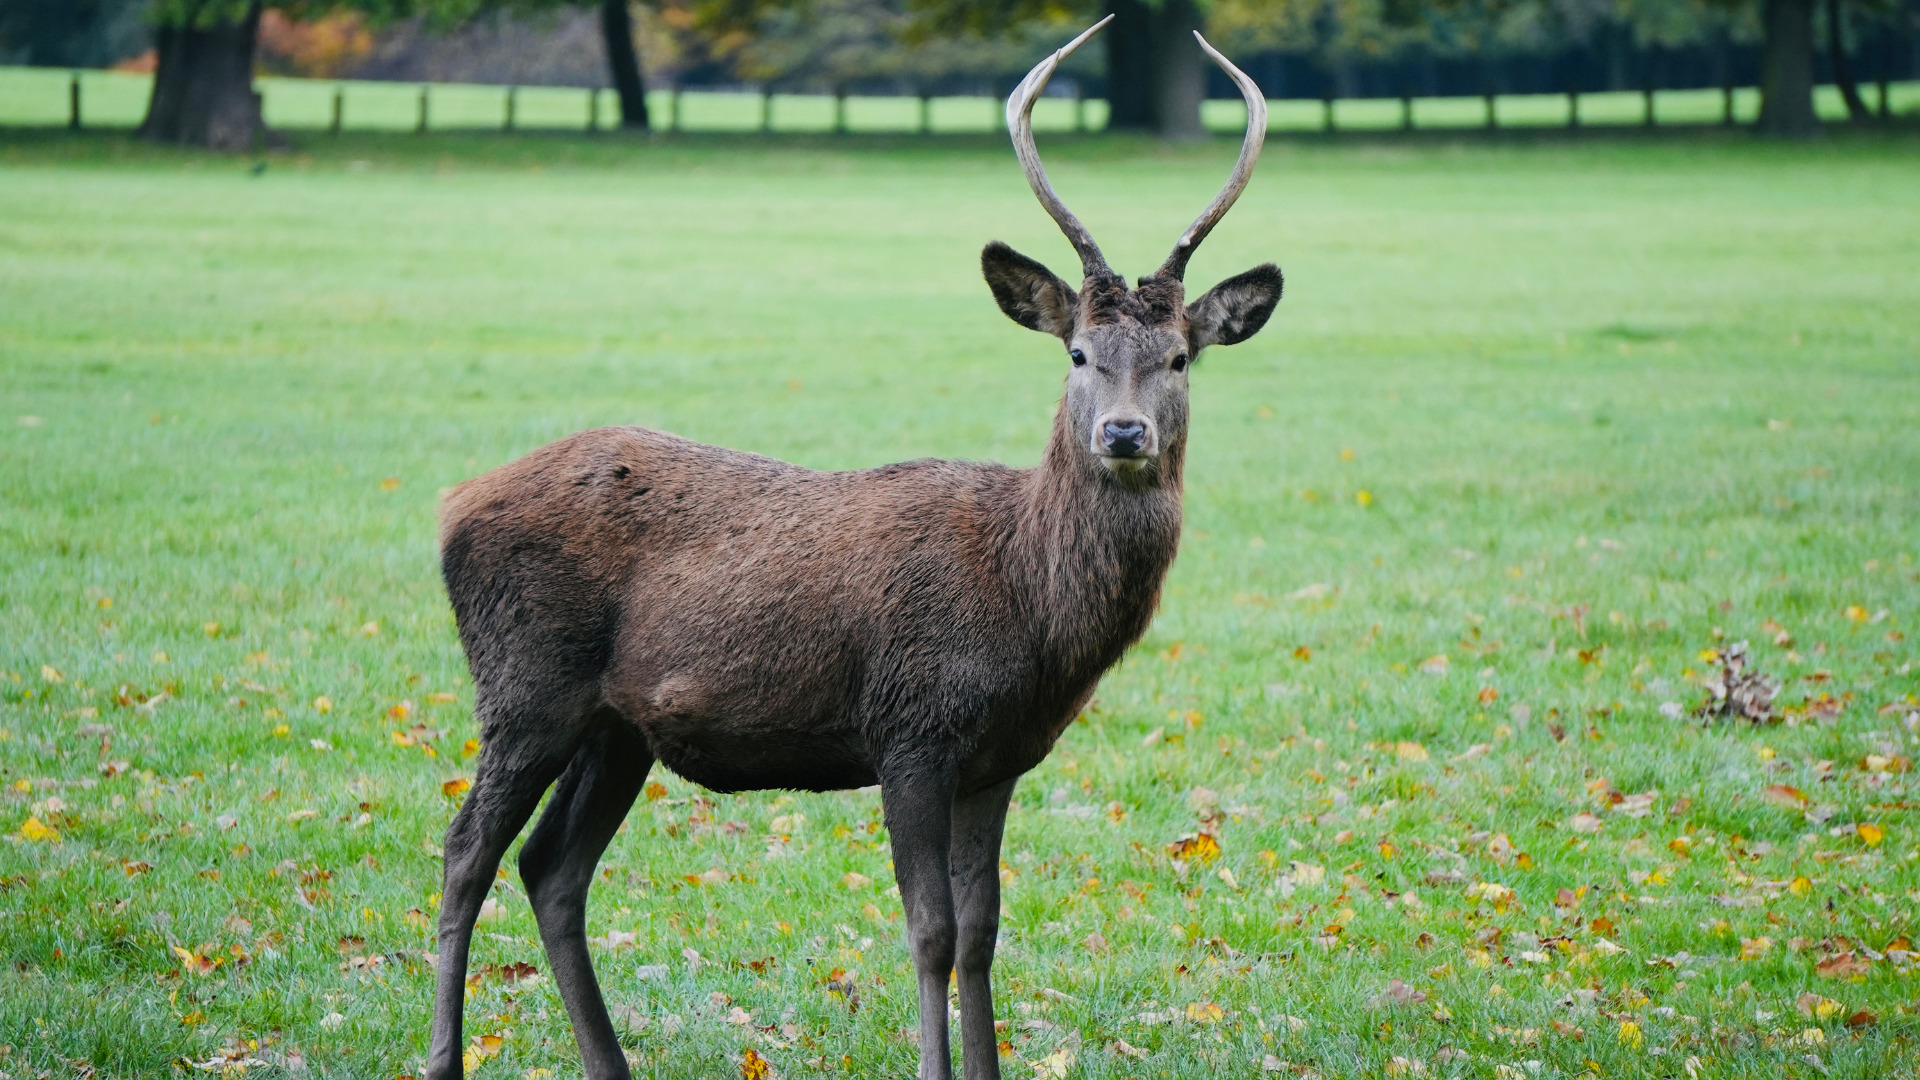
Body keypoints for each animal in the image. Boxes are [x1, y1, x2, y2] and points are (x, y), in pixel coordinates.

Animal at [425, 18, 1279, 1080]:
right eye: (1078, 353)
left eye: (1180, 358)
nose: (1123, 433)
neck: (1030, 613)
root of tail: (451, 506)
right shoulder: (909, 727)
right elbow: (931, 931)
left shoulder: (1000, 757)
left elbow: (985, 932)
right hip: (525, 683)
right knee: (466, 849)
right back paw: (445, 1057)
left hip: (616, 726)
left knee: (550, 867)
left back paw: (607, 1063)